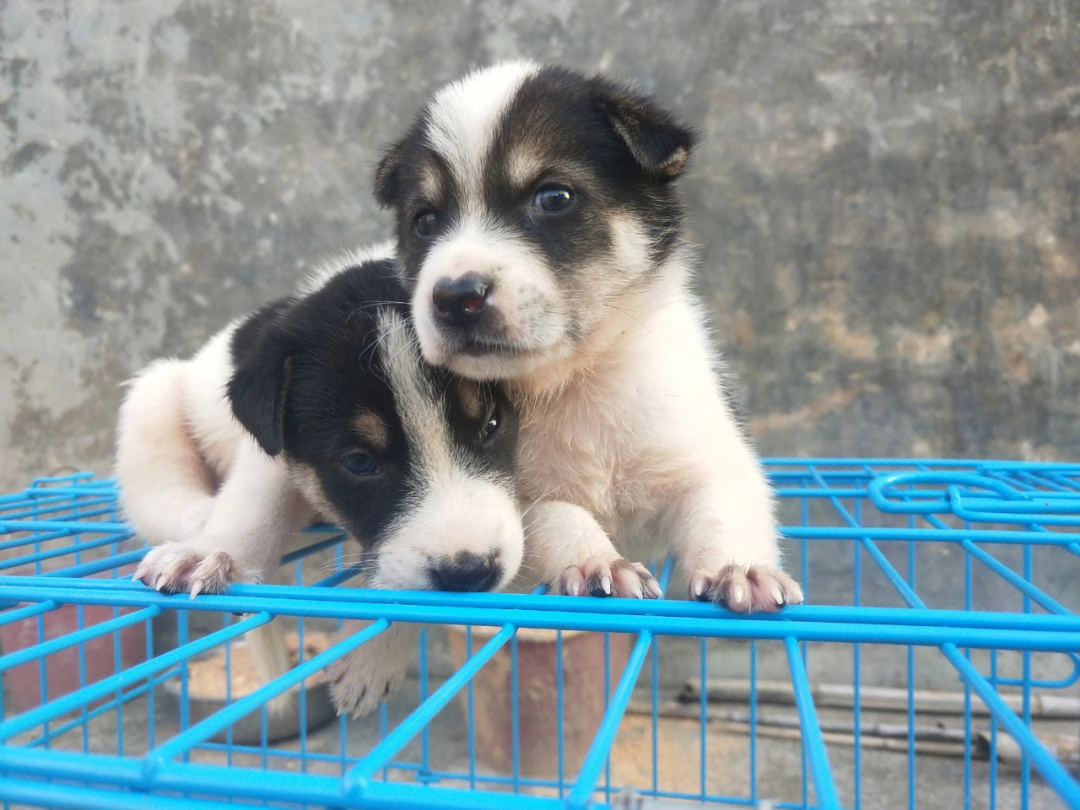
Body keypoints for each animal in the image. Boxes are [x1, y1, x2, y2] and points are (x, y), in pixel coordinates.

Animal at [118, 252, 522, 717]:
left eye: (492, 424)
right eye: (359, 462)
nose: (471, 574)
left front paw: (371, 661)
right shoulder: (272, 455)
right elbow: (254, 507)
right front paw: (212, 554)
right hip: (152, 399)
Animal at [371, 61, 803, 609]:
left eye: (554, 197)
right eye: (424, 221)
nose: (454, 296)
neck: (574, 381)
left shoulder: (708, 453)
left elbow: (722, 510)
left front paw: (741, 570)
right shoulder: (512, 499)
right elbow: (557, 514)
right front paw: (598, 561)